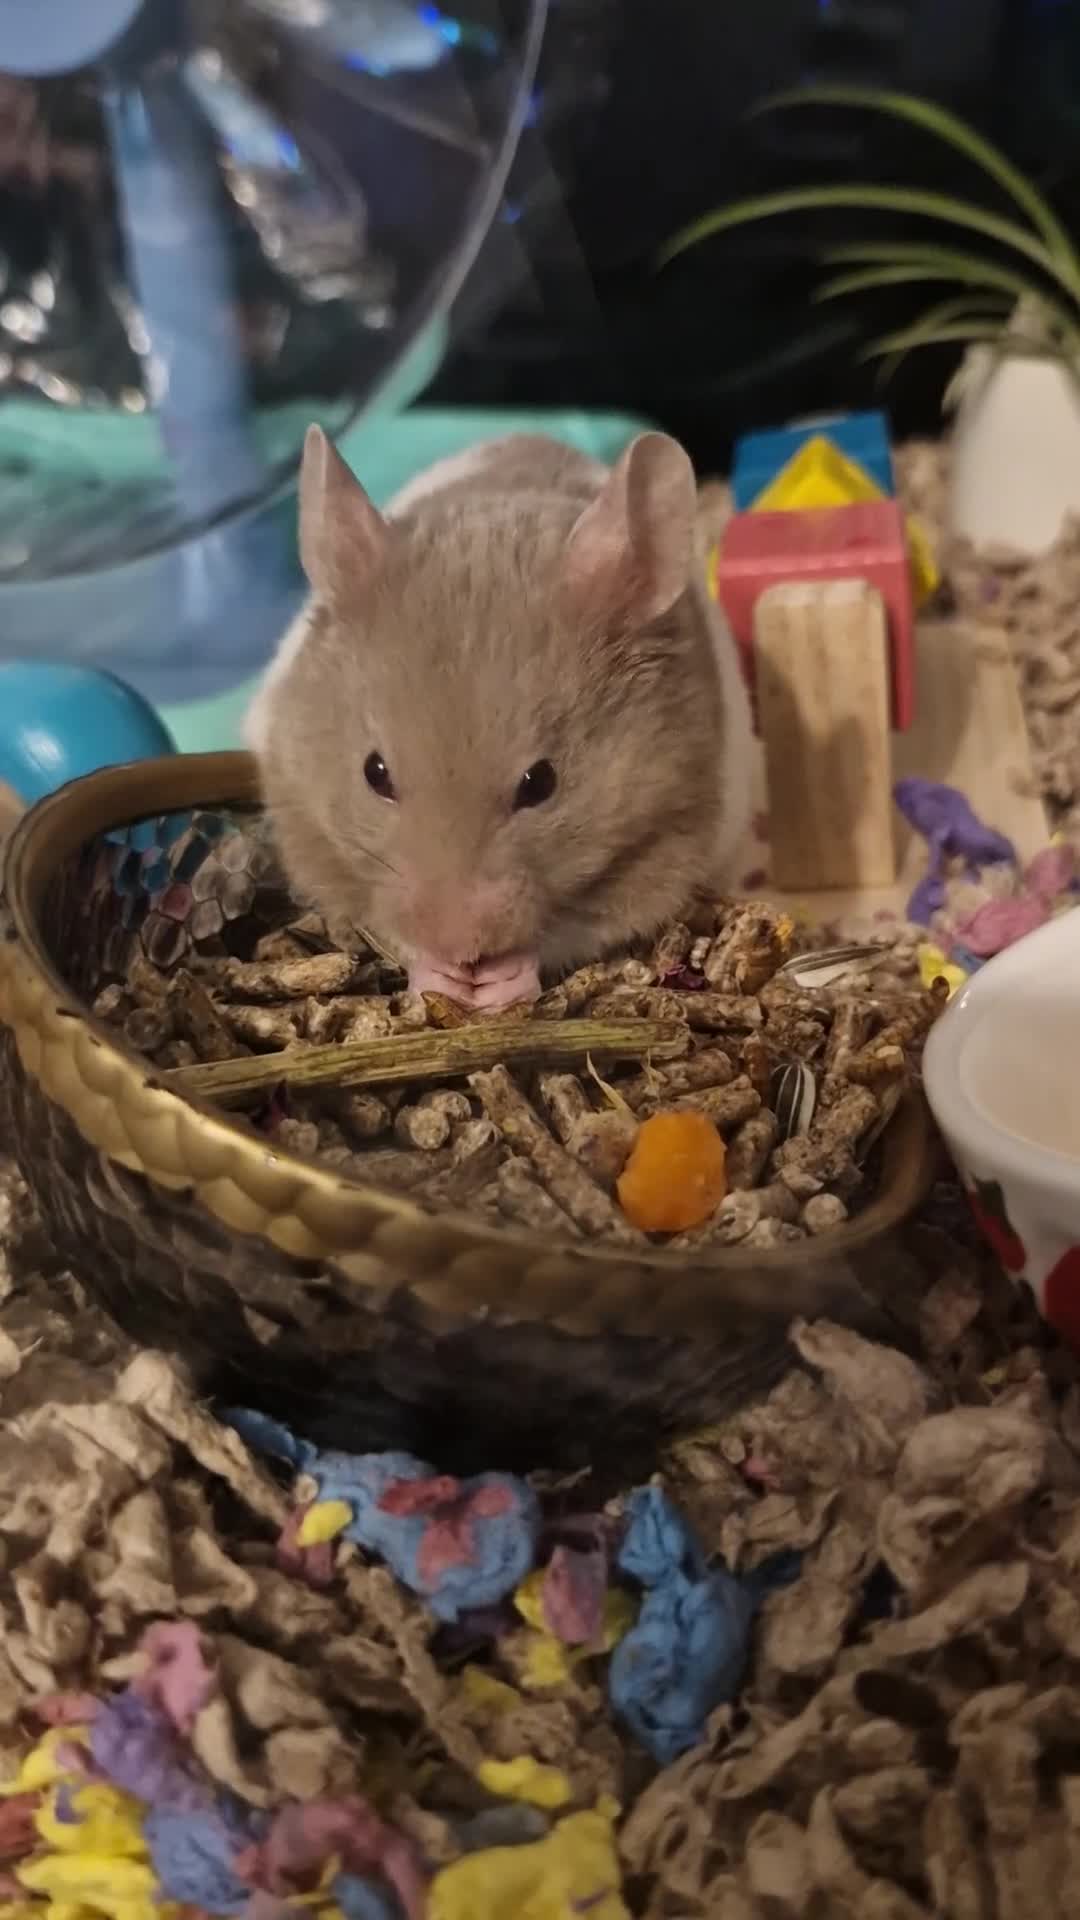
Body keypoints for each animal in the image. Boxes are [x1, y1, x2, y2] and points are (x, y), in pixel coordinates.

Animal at [246, 425, 753, 1012]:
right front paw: (441, 976)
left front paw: (494, 985)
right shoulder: (304, 818)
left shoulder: (669, 836)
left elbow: (568, 931)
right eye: (375, 773)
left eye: (540, 783)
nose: (460, 947)